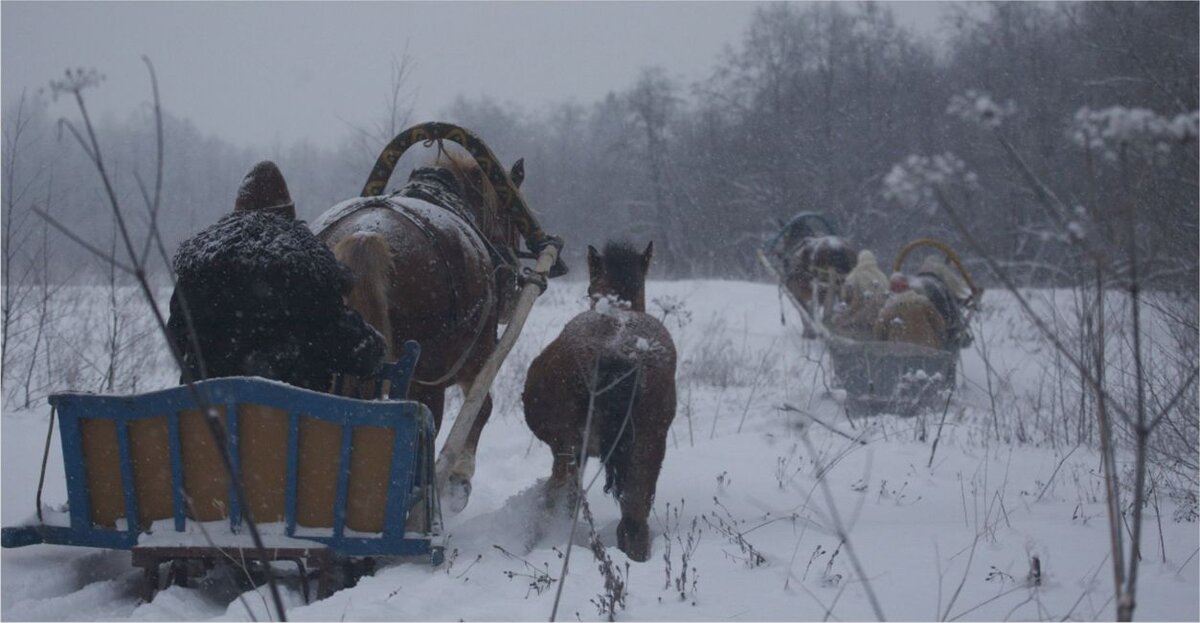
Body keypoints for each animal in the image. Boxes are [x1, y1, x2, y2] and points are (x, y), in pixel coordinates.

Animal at [312, 152, 518, 511]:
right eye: (507, 218)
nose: (509, 291)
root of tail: (367, 235)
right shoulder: (476, 356)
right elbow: (481, 407)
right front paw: (458, 482)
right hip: (428, 375)